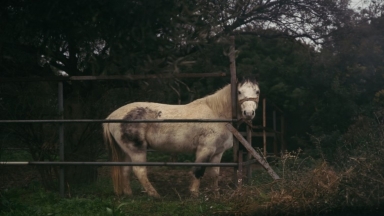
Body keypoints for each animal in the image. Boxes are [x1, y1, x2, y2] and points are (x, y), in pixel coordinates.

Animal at [103, 76, 260, 197]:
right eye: (239, 92)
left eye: (257, 91)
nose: (248, 113)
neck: (217, 113)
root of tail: (112, 116)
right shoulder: (205, 149)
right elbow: (198, 171)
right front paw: (194, 194)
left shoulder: (217, 152)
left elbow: (215, 173)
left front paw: (216, 194)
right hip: (136, 150)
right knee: (139, 171)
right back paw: (155, 195)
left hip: (126, 151)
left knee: (125, 170)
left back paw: (129, 194)